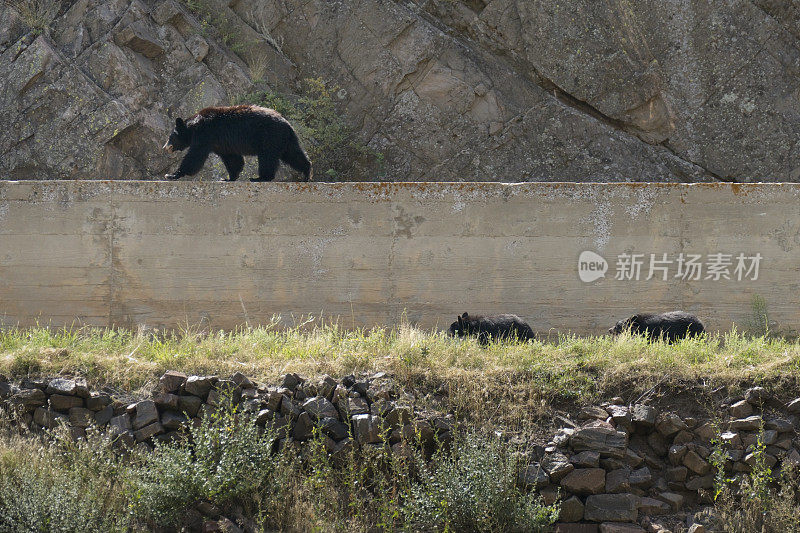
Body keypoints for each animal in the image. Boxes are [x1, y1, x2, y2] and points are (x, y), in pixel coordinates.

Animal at [162, 104, 312, 183]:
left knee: (267, 157)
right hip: (284, 140)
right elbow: (232, 159)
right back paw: (306, 172)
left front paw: (172, 175)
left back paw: (260, 177)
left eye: (171, 136)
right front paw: (230, 178)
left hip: (269, 136)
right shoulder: (222, 143)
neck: (194, 127)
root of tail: (288, 124)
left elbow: (195, 156)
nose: (165, 147)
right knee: (293, 154)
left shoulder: (205, 134)